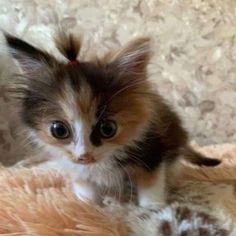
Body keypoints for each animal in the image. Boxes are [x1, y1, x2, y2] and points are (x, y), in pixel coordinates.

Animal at [4, 31, 221, 206]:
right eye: (59, 130)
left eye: (108, 129)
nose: (84, 156)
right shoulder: (74, 165)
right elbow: (85, 188)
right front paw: (88, 207)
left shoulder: (152, 151)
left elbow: (151, 184)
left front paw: (152, 208)